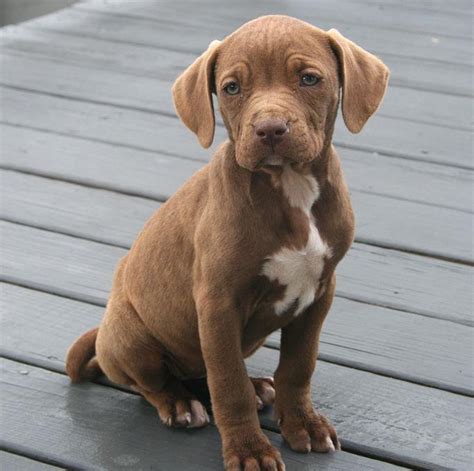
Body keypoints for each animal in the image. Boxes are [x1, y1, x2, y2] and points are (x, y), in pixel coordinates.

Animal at [66, 14, 386, 471]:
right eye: (232, 88)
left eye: (309, 79)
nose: (270, 129)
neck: (289, 187)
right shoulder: (218, 304)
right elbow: (227, 384)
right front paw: (249, 450)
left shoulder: (320, 293)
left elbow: (298, 365)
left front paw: (303, 424)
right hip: (131, 335)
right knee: (156, 383)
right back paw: (181, 404)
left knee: (203, 371)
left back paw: (257, 387)